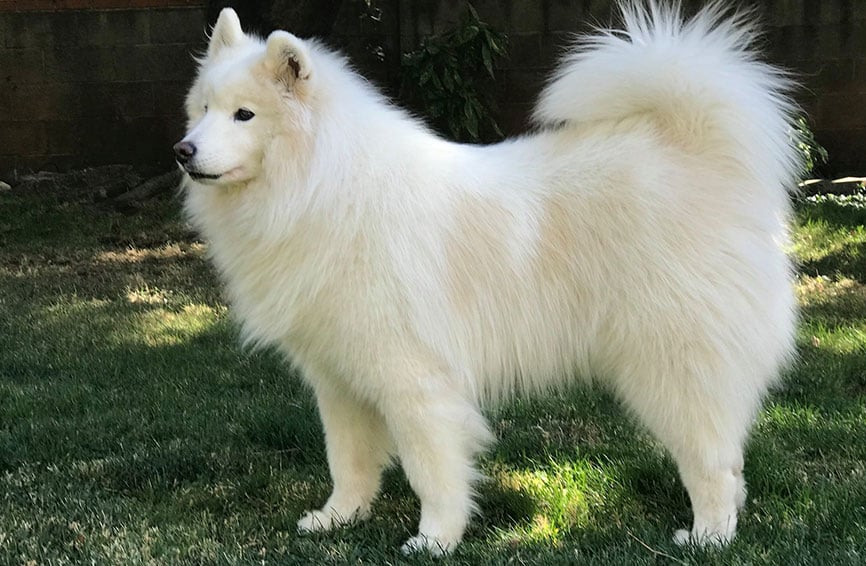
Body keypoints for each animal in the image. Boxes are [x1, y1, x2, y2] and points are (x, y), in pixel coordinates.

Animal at [177, 0, 804, 556]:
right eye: (203, 109)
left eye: (244, 115)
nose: (183, 150)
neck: (320, 188)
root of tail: (695, 151)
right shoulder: (339, 381)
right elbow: (348, 463)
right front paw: (338, 519)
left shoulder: (415, 381)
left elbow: (432, 472)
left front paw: (434, 541)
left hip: (672, 366)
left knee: (713, 462)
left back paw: (708, 536)